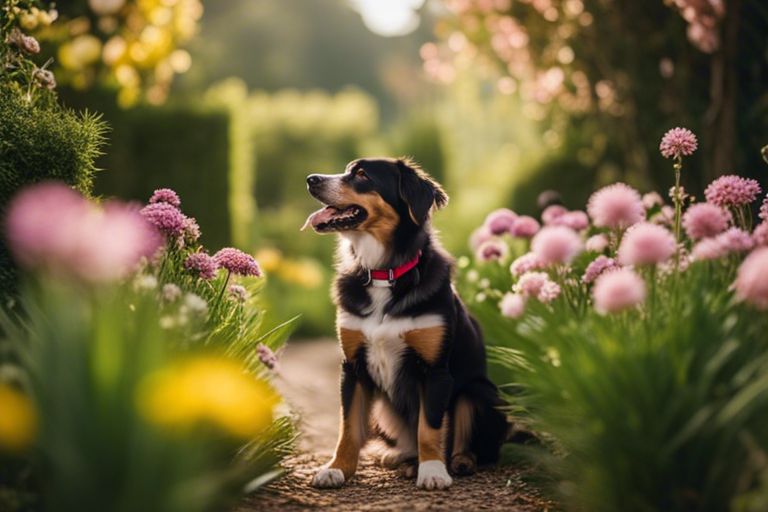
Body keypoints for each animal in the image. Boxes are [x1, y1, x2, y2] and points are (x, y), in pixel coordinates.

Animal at [304, 158, 508, 490]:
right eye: (348, 169)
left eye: (362, 175)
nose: (311, 179)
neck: (384, 273)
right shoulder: (353, 367)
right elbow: (348, 427)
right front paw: (337, 469)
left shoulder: (435, 369)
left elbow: (429, 426)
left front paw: (433, 470)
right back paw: (400, 457)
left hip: (480, 392)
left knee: (472, 443)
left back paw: (457, 461)